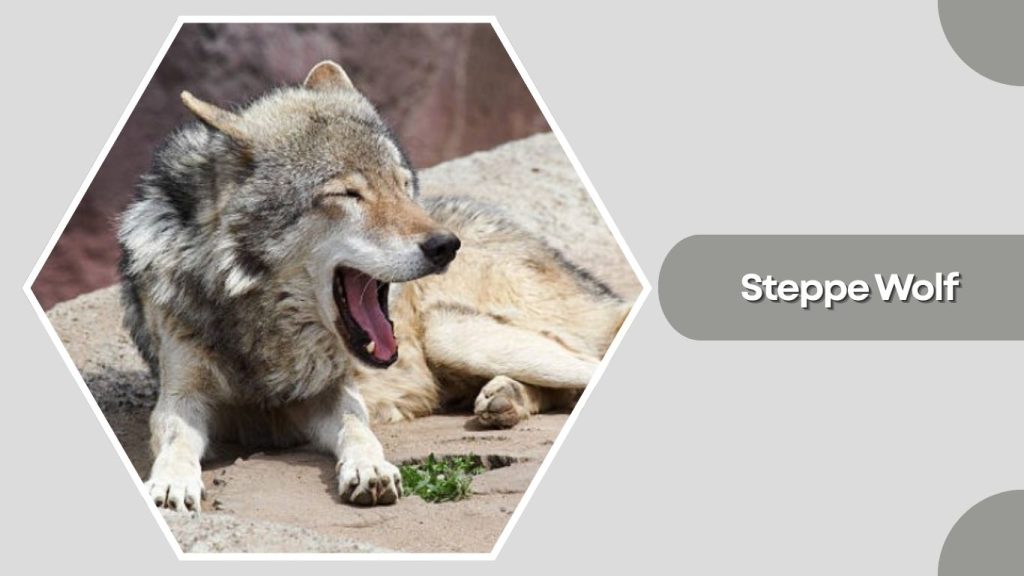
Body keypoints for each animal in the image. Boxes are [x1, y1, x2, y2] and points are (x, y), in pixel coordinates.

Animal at [118, 61, 630, 512]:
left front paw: (370, 469)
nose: (445, 245)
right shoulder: (183, 396)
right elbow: (177, 440)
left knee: (582, 370)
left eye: (402, 185)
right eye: (348, 194)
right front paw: (171, 482)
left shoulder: (332, 393)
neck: (261, 324)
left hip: (456, 334)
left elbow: (358, 430)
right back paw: (505, 400)